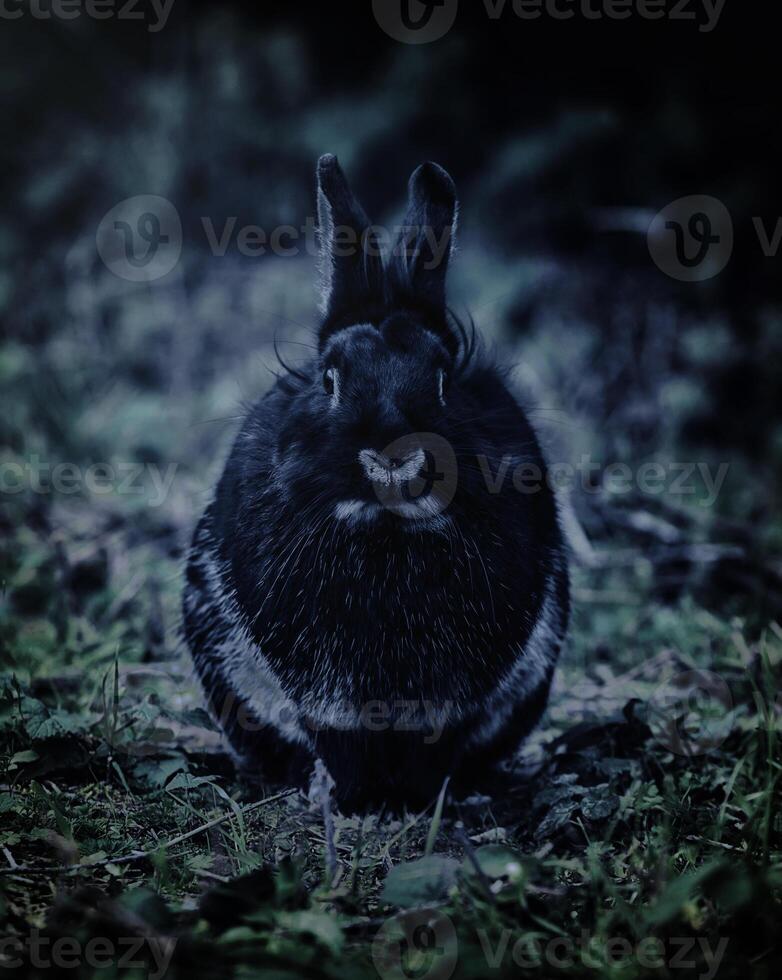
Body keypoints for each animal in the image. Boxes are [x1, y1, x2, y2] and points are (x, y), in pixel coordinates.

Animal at [187, 155, 572, 812]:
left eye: (442, 381)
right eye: (330, 379)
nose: (395, 461)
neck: (385, 531)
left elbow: (435, 742)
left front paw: (421, 803)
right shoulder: (323, 688)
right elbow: (337, 738)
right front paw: (348, 802)